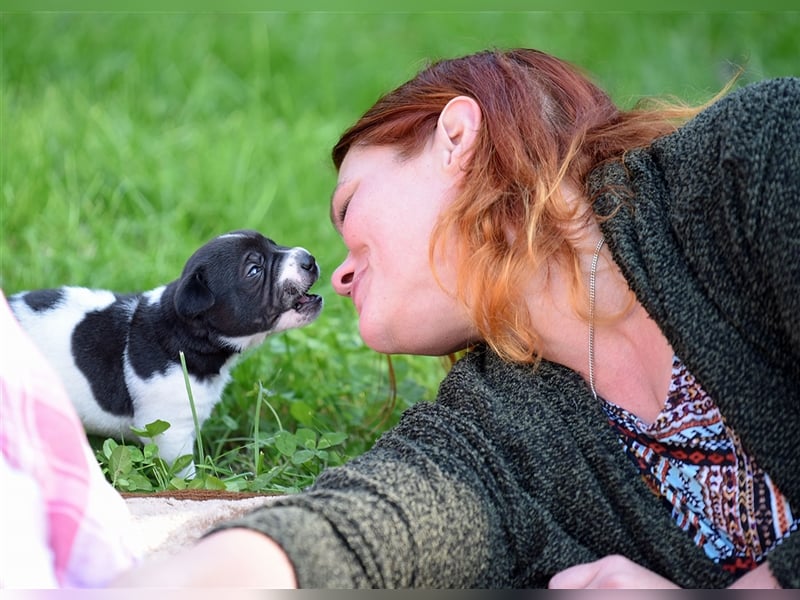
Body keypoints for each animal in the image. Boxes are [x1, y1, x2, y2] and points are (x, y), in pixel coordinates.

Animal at [8, 231, 322, 478]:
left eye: (274, 244)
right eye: (254, 269)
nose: (309, 259)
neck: (179, 330)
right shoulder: (170, 431)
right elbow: (183, 470)